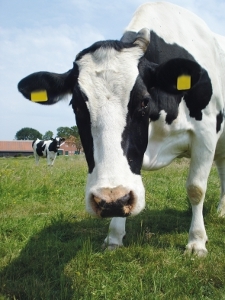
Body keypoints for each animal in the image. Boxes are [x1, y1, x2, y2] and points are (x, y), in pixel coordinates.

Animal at [18, 1, 225, 255]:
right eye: (76, 105)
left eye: (144, 101)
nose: (110, 200)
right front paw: (115, 235)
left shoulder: (206, 134)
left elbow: (196, 189)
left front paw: (196, 241)